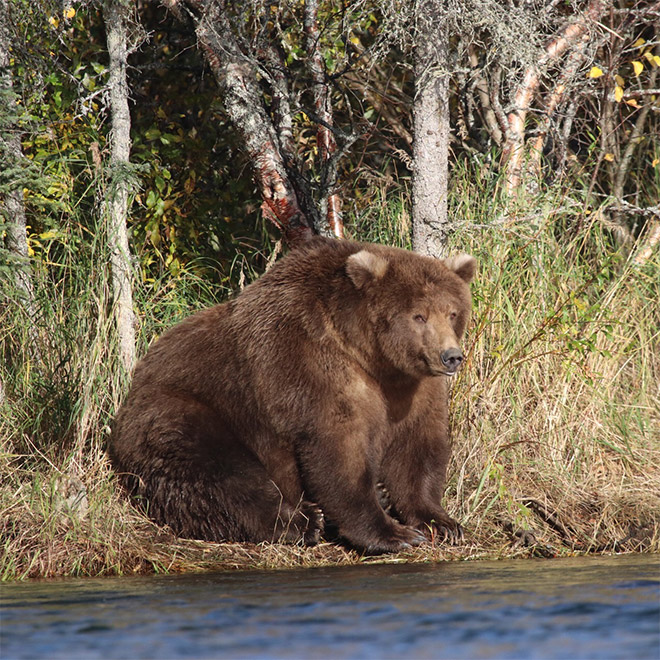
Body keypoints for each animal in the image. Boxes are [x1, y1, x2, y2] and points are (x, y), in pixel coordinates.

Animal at [111, 235, 476, 556]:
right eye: (419, 315)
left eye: (452, 312)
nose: (451, 356)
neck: (371, 357)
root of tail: (130, 392)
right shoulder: (308, 364)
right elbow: (338, 449)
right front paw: (394, 534)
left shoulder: (412, 389)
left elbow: (417, 447)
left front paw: (442, 523)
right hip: (185, 412)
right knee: (221, 475)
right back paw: (304, 521)